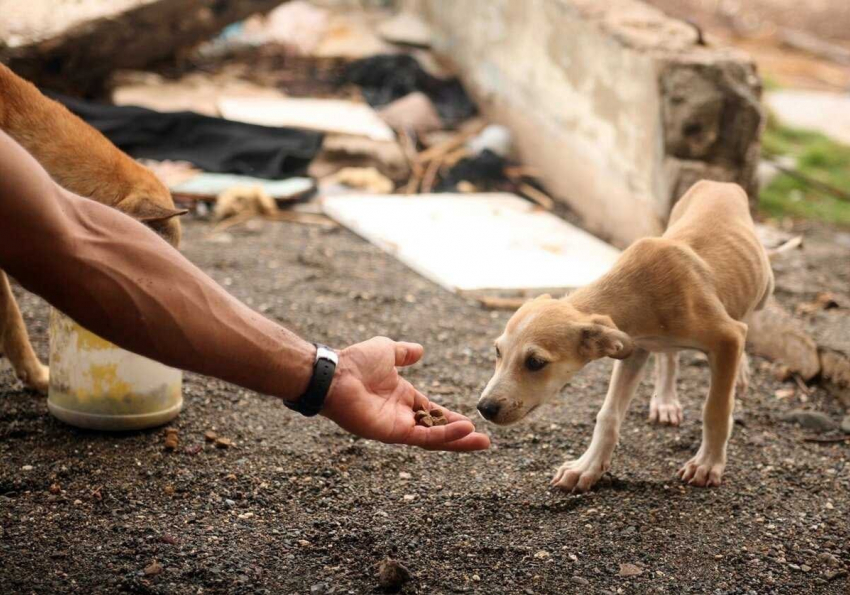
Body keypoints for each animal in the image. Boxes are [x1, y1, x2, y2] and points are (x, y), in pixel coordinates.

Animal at [480, 179, 772, 492]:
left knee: (745, 316)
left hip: (763, 289)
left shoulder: (727, 337)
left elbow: (715, 409)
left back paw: (739, 372)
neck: (640, 289)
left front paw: (707, 464)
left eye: (535, 362)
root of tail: (719, 182)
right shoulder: (633, 348)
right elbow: (608, 415)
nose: (484, 408)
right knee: (669, 356)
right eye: (498, 352)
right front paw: (587, 467)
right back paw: (665, 402)